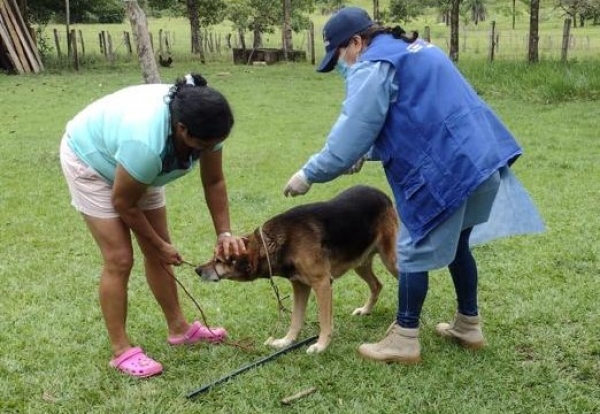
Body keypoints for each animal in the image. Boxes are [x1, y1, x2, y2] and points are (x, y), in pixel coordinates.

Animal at [196, 186, 398, 354]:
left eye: (219, 260)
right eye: (214, 256)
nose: (197, 270)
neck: (272, 243)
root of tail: (381, 194)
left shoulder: (322, 284)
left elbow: (324, 320)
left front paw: (321, 345)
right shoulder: (300, 286)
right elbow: (296, 319)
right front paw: (286, 341)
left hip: (391, 260)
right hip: (359, 263)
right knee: (377, 285)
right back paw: (366, 310)